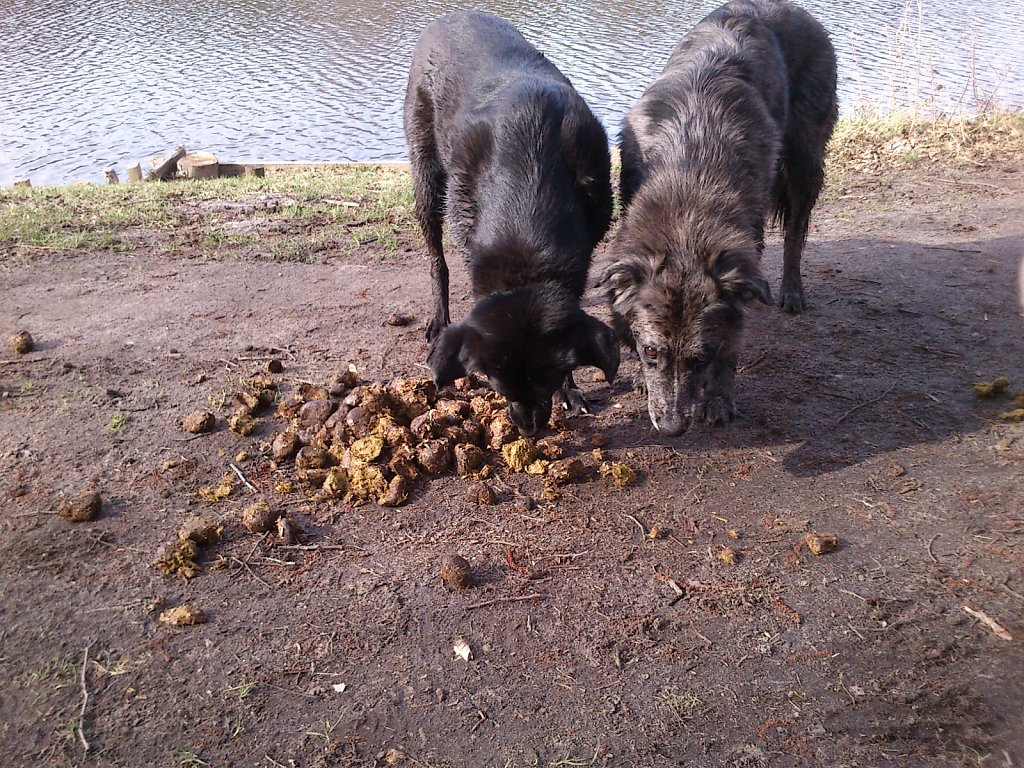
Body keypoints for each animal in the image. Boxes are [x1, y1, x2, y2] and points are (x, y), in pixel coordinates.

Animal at [403, 12, 618, 436]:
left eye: (548, 379)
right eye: (497, 386)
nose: (529, 429)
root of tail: (448, 16)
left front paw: (571, 391)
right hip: (427, 179)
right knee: (437, 258)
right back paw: (439, 318)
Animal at [602, 0, 835, 436]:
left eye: (700, 357)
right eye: (650, 351)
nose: (672, 428)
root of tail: (790, 8)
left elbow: (732, 341)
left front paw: (718, 397)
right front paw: (642, 378)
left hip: (804, 159)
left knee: (796, 231)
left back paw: (792, 290)